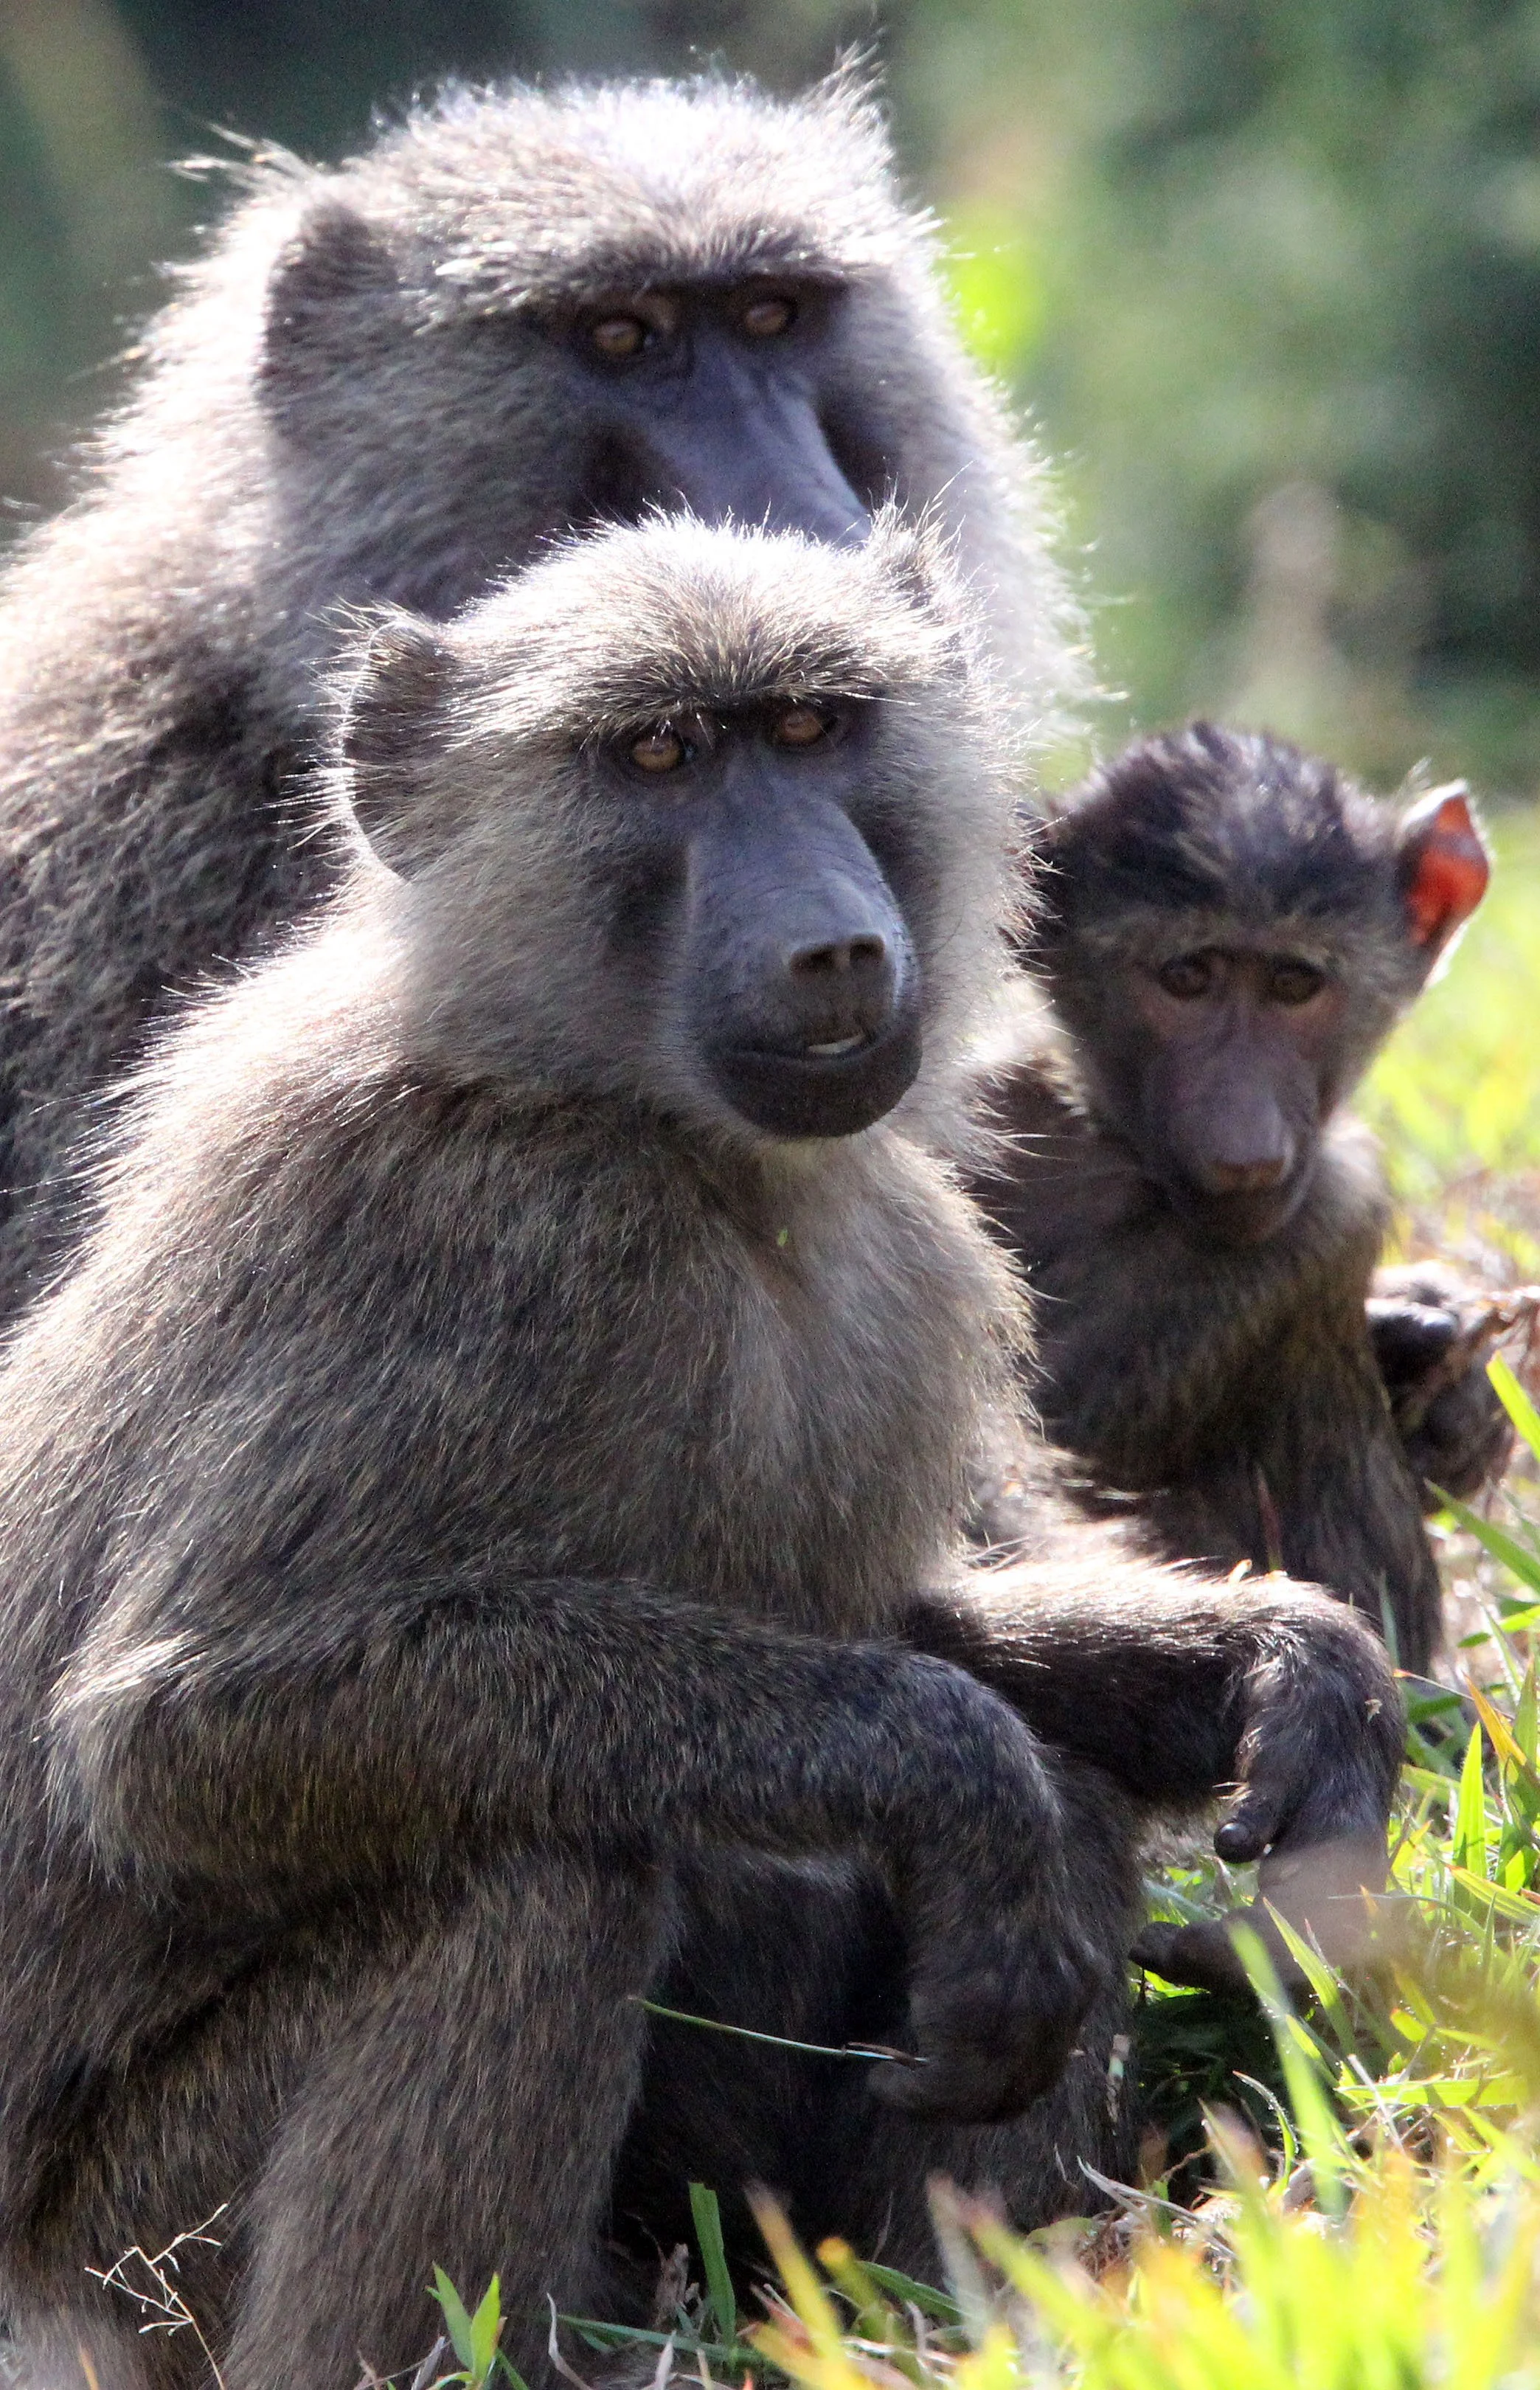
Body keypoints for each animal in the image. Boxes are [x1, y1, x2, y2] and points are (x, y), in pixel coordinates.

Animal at [0, 523, 1401, 2390]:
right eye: (659, 754)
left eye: (811, 727)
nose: (830, 949)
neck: (664, 1142)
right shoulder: (440, 1240)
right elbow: (175, 1726)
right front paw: (958, 1778)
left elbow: (883, 1621)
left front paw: (1277, 1664)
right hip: (131, 2261)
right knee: (537, 1870)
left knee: (1069, 1786)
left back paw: (956, 2311)